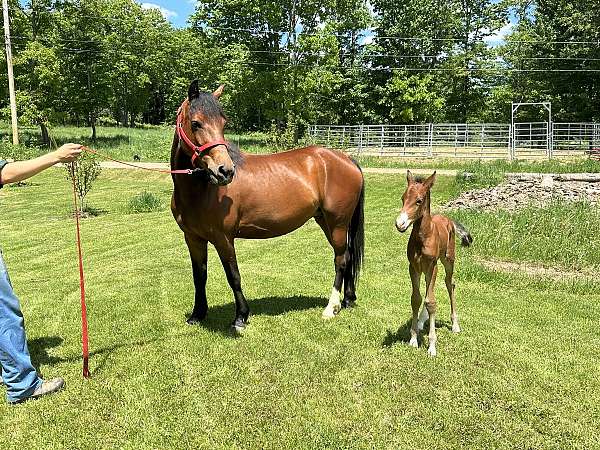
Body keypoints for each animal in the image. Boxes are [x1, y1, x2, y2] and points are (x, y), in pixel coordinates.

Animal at [170, 81, 366, 332]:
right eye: (196, 123)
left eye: (223, 123)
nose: (225, 171)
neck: (201, 189)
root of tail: (346, 159)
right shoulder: (193, 239)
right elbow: (199, 276)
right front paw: (197, 314)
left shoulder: (224, 238)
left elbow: (233, 276)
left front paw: (241, 317)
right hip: (326, 221)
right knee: (348, 256)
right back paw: (348, 299)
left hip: (338, 223)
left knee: (340, 259)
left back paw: (331, 308)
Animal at [394, 171, 474, 356]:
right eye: (403, 198)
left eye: (419, 200)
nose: (400, 224)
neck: (423, 237)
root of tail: (448, 219)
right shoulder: (413, 267)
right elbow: (416, 299)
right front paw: (414, 338)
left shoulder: (432, 266)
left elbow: (431, 302)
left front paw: (431, 346)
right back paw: (422, 321)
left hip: (448, 260)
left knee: (450, 284)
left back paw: (455, 325)